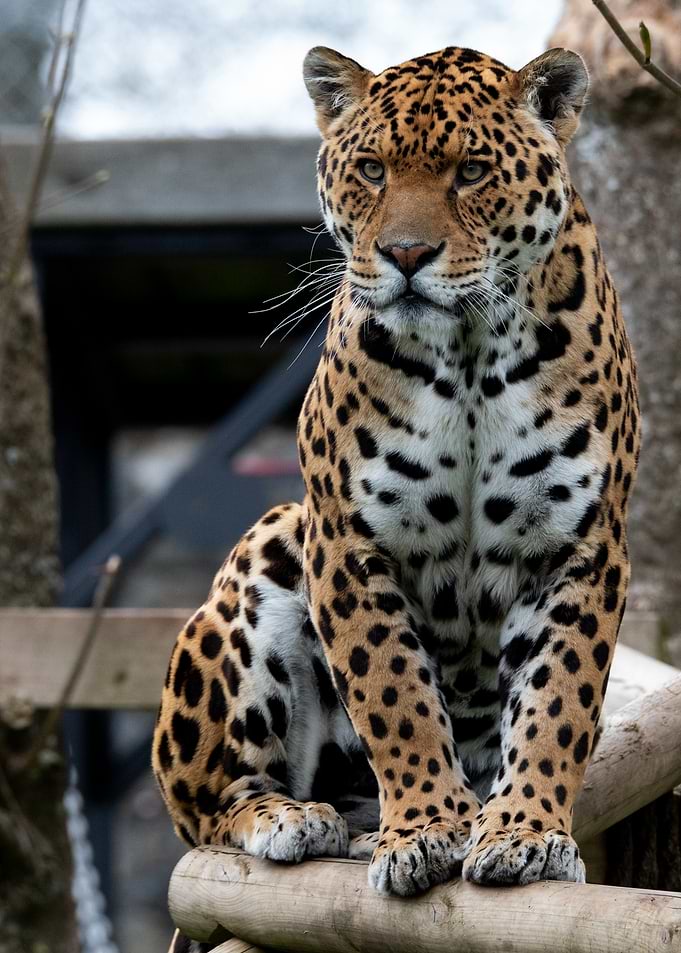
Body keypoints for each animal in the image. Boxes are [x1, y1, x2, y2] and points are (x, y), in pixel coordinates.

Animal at [154, 42, 640, 945]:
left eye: (471, 171)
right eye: (373, 170)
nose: (405, 256)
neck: (470, 352)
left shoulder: (579, 545)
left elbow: (558, 698)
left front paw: (523, 829)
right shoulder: (348, 542)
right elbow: (394, 693)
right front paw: (425, 828)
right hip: (272, 540)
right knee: (205, 810)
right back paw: (298, 819)